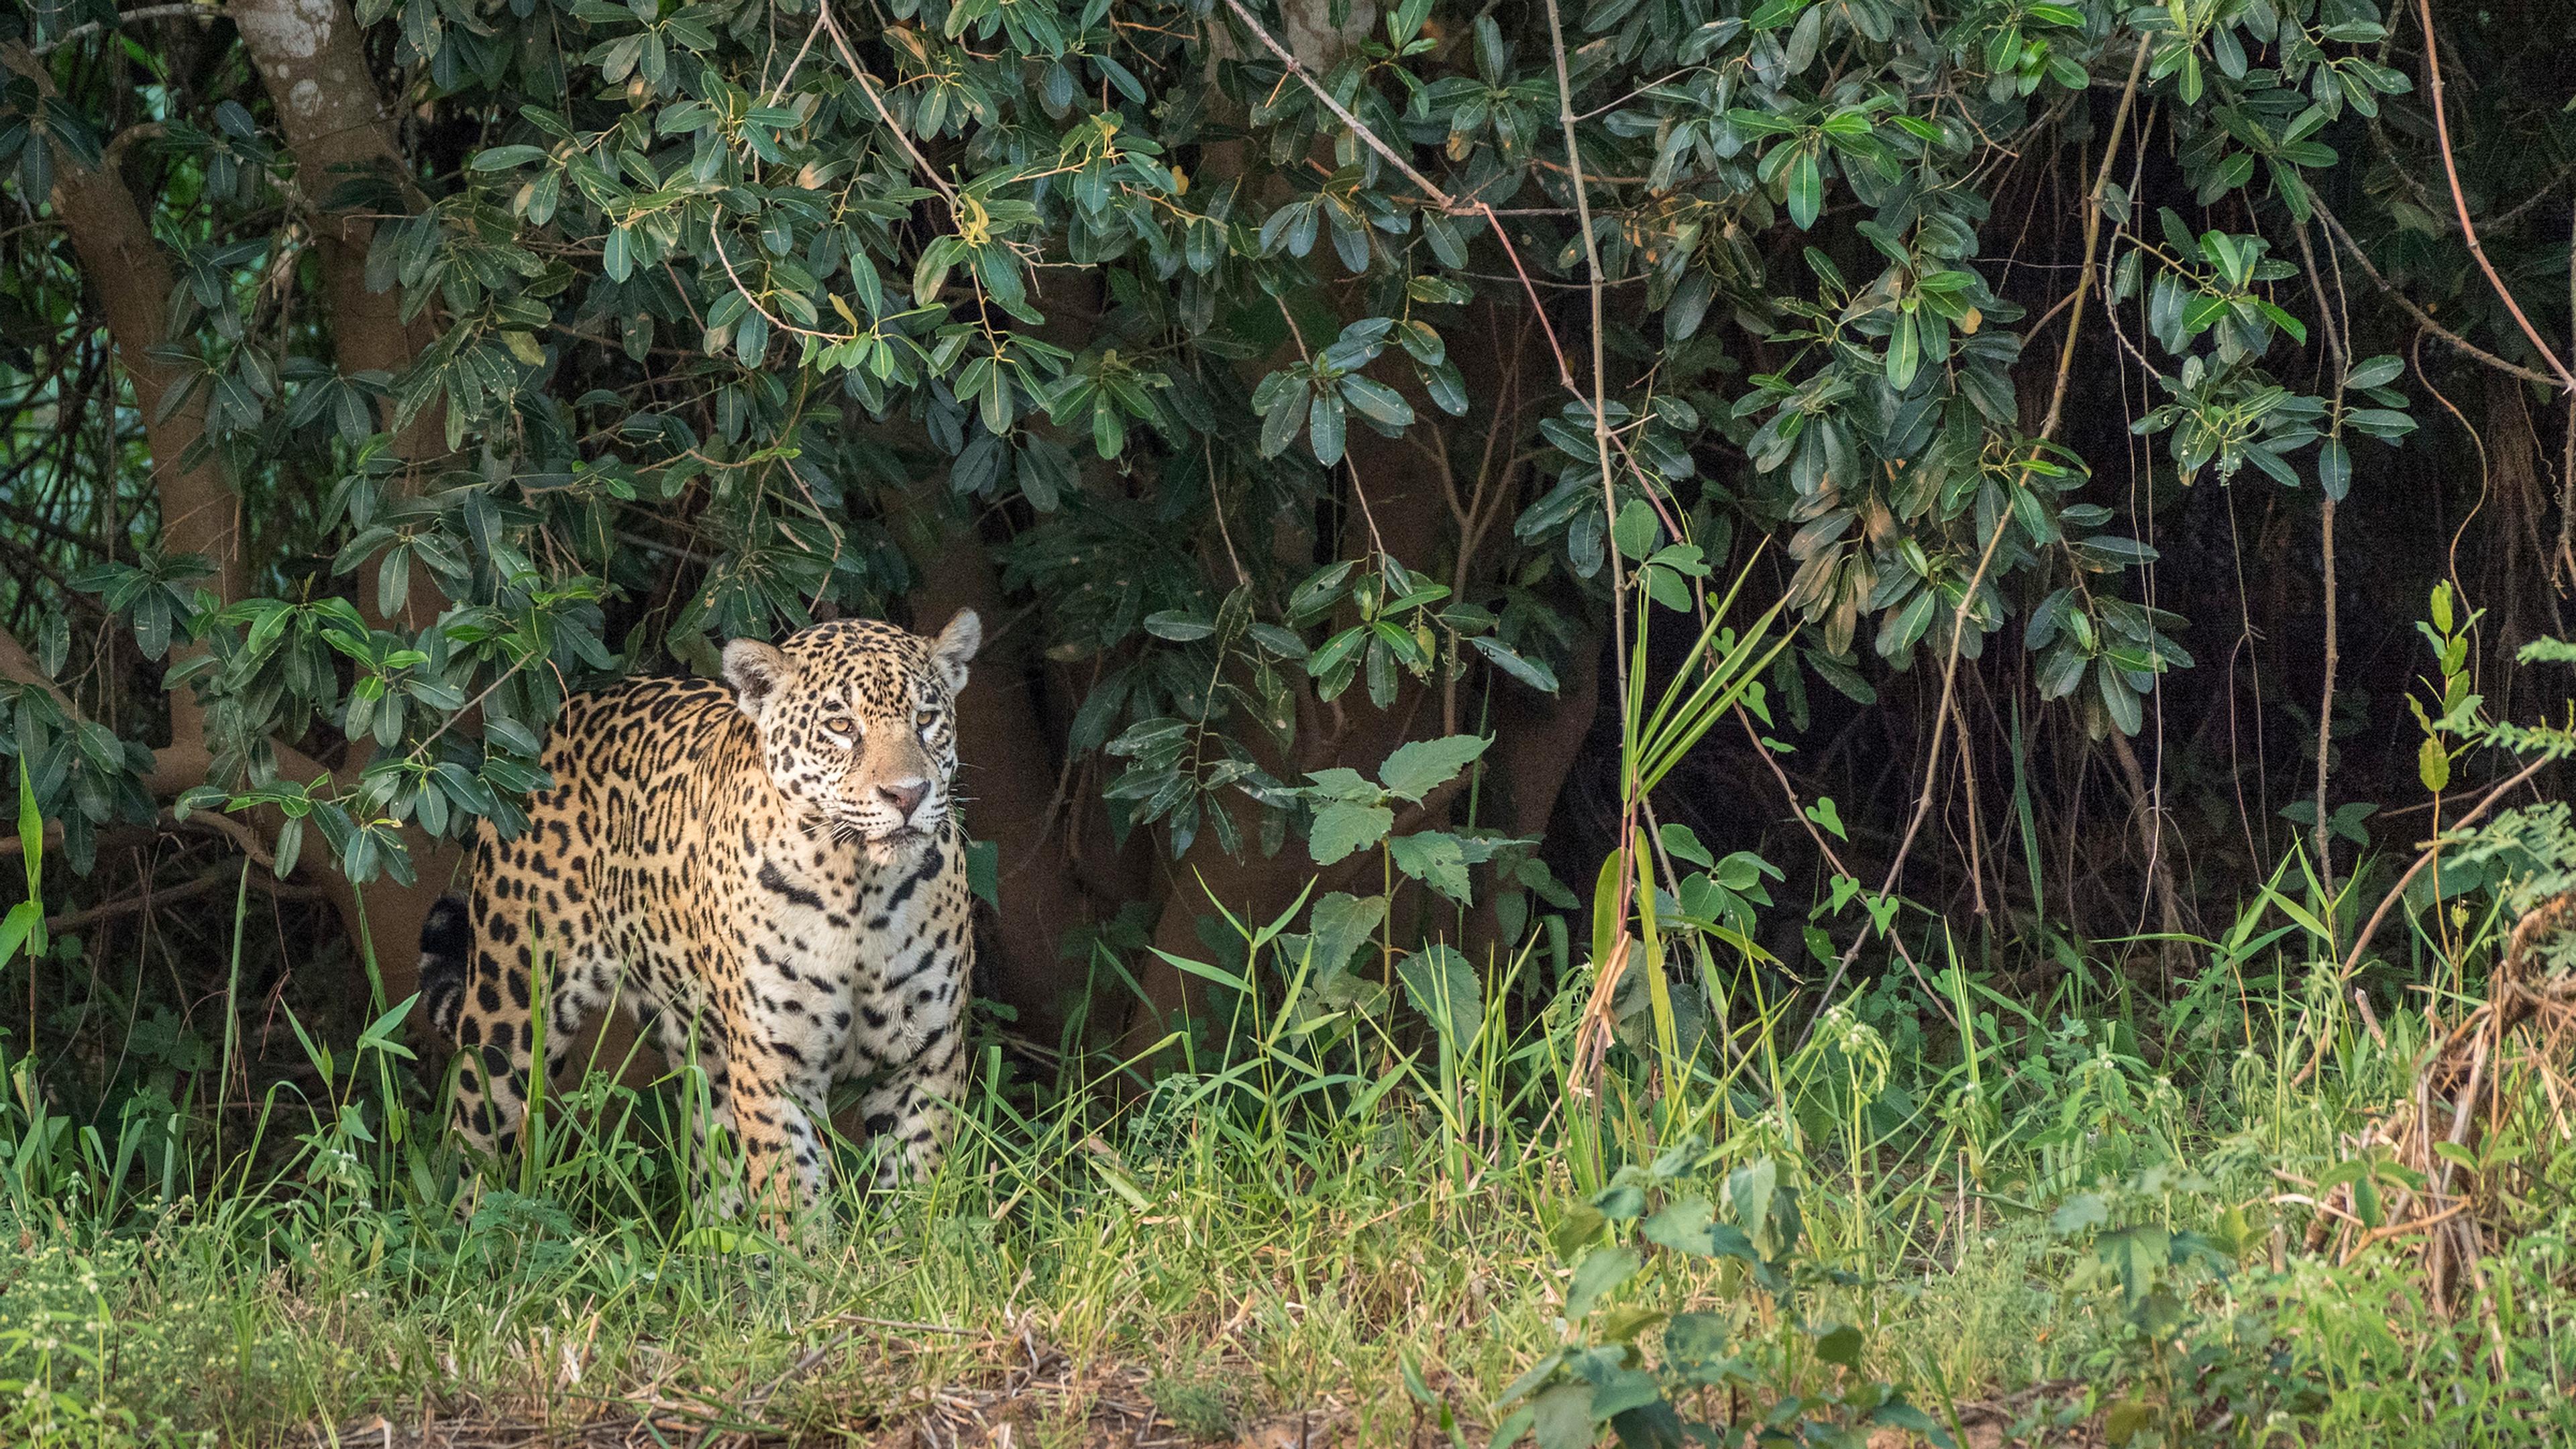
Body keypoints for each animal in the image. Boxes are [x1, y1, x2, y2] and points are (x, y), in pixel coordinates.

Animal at [416, 610, 982, 1216]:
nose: (908, 794)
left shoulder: (927, 1059)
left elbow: (917, 1195)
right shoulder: (773, 1069)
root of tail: (558, 718)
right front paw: (810, 1241)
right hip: (509, 1021)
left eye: (926, 719)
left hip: (705, 1059)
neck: (860, 891)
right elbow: (795, 1197)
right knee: (469, 1151)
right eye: (840, 725)